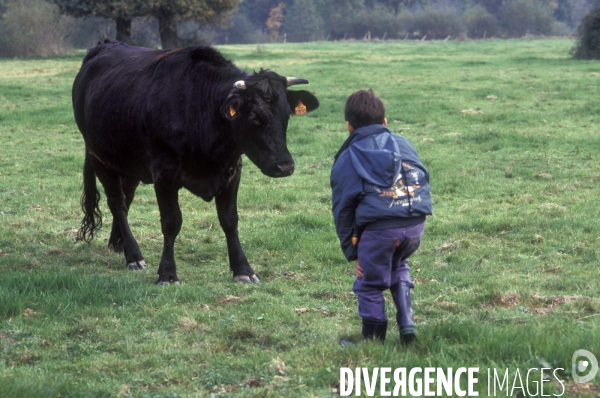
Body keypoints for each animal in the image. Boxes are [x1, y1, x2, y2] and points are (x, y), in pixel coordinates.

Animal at [72, 40, 318, 284]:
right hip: (99, 157)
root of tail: (106, 45)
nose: (285, 166)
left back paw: (118, 243)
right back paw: (133, 255)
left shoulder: (232, 170)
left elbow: (230, 220)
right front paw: (167, 273)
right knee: (117, 203)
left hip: (127, 161)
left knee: (127, 197)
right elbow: (171, 221)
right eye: (253, 117)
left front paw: (242, 269)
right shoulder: (164, 172)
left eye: (286, 115)